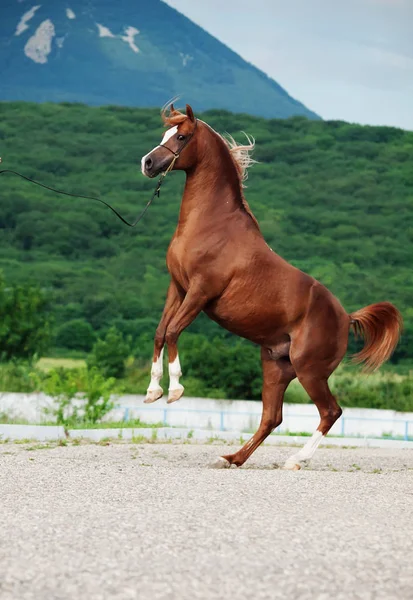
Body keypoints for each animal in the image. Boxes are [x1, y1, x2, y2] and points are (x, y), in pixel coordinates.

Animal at [140, 103, 400, 472]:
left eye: (182, 136)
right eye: (165, 133)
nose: (148, 163)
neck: (211, 225)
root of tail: (346, 317)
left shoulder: (201, 292)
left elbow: (175, 330)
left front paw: (175, 390)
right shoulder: (177, 287)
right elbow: (161, 333)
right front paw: (153, 392)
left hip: (310, 372)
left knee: (330, 412)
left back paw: (295, 460)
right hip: (276, 367)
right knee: (272, 417)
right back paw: (232, 458)